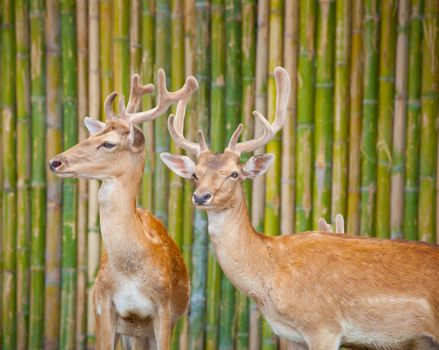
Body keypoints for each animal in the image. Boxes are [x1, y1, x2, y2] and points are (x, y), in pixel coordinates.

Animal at [49, 69, 198, 348]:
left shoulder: (164, 309)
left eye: (108, 143)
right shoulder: (102, 305)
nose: (55, 161)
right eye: (89, 136)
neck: (130, 273)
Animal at [161, 67, 439, 348]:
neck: (269, 273)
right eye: (195, 174)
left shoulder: (322, 325)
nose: (201, 196)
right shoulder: (292, 334)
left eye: (234, 174)